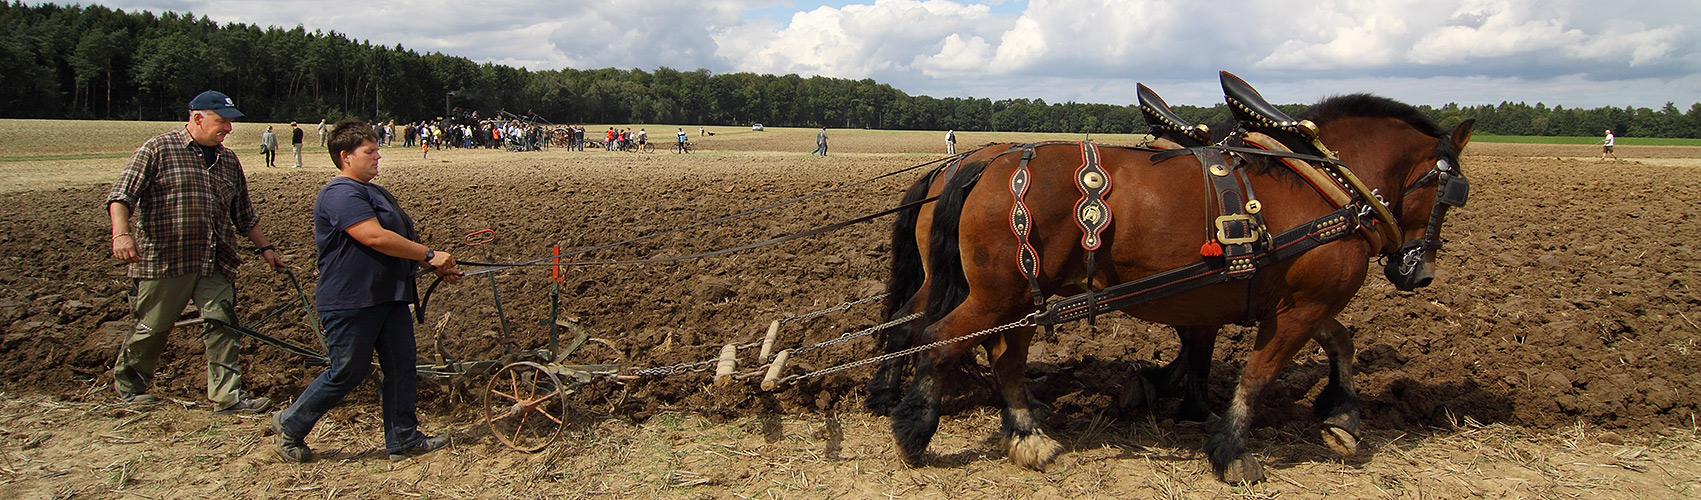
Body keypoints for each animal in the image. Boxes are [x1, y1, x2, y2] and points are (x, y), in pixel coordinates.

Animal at [864, 91, 1476, 482]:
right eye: (1449, 192)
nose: (1419, 272)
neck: (1325, 187)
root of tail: (983, 165)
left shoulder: (1295, 299)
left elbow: (1338, 342)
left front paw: (1343, 417)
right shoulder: (1300, 306)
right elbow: (1258, 374)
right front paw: (1230, 449)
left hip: (1018, 294)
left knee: (986, 350)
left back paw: (1024, 432)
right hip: (999, 293)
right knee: (939, 337)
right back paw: (914, 427)